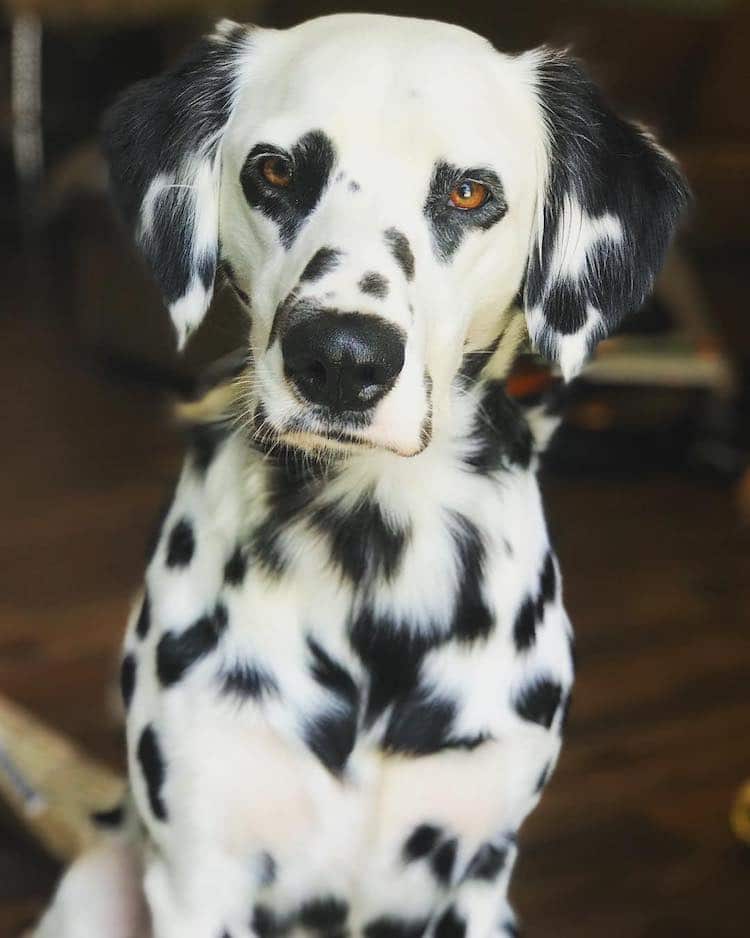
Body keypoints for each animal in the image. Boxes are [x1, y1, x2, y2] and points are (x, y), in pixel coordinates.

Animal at [36, 12, 692, 936]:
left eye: (468, 194)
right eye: (275, 171)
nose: (342, 359)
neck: (374, 559)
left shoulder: (477, 872)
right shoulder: (200, 871)